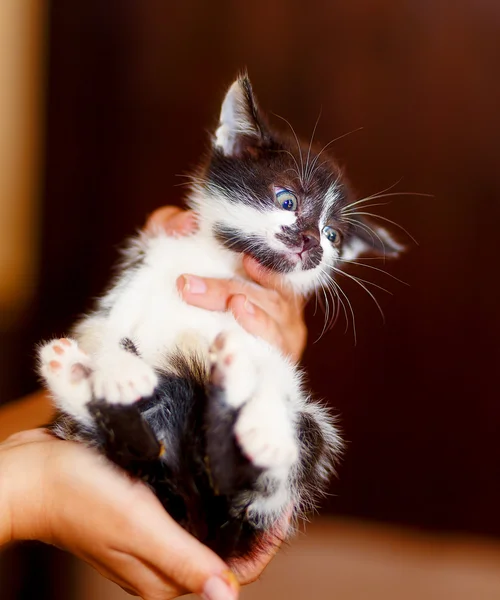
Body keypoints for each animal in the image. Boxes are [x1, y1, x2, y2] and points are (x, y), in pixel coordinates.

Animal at [37, 76, 400, 564]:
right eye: (287, 199)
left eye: (332, 236)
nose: (313, 243)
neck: (218, 264)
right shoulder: (136, 275)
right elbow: (105, 328)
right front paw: (120, 370)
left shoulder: (260, 330)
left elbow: (276, 377)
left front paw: (267, 425)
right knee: (132, 450)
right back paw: (72, 375)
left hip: (304, 437)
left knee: (267, 474)